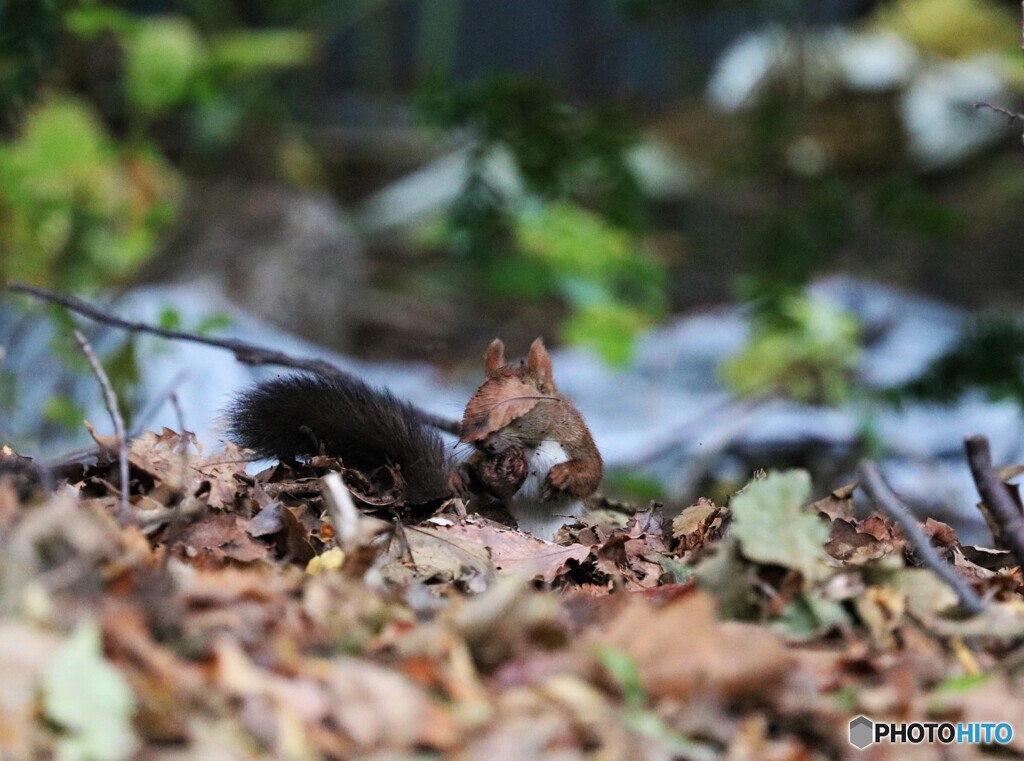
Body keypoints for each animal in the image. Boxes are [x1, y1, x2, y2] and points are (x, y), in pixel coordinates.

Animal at [226, 335, 598, 540]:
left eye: (517, 413)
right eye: (472, 404)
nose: (481, 442)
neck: (533, 447)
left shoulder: (577, 440)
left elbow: (590, 473)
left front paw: (565, 475)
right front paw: (462, 474)